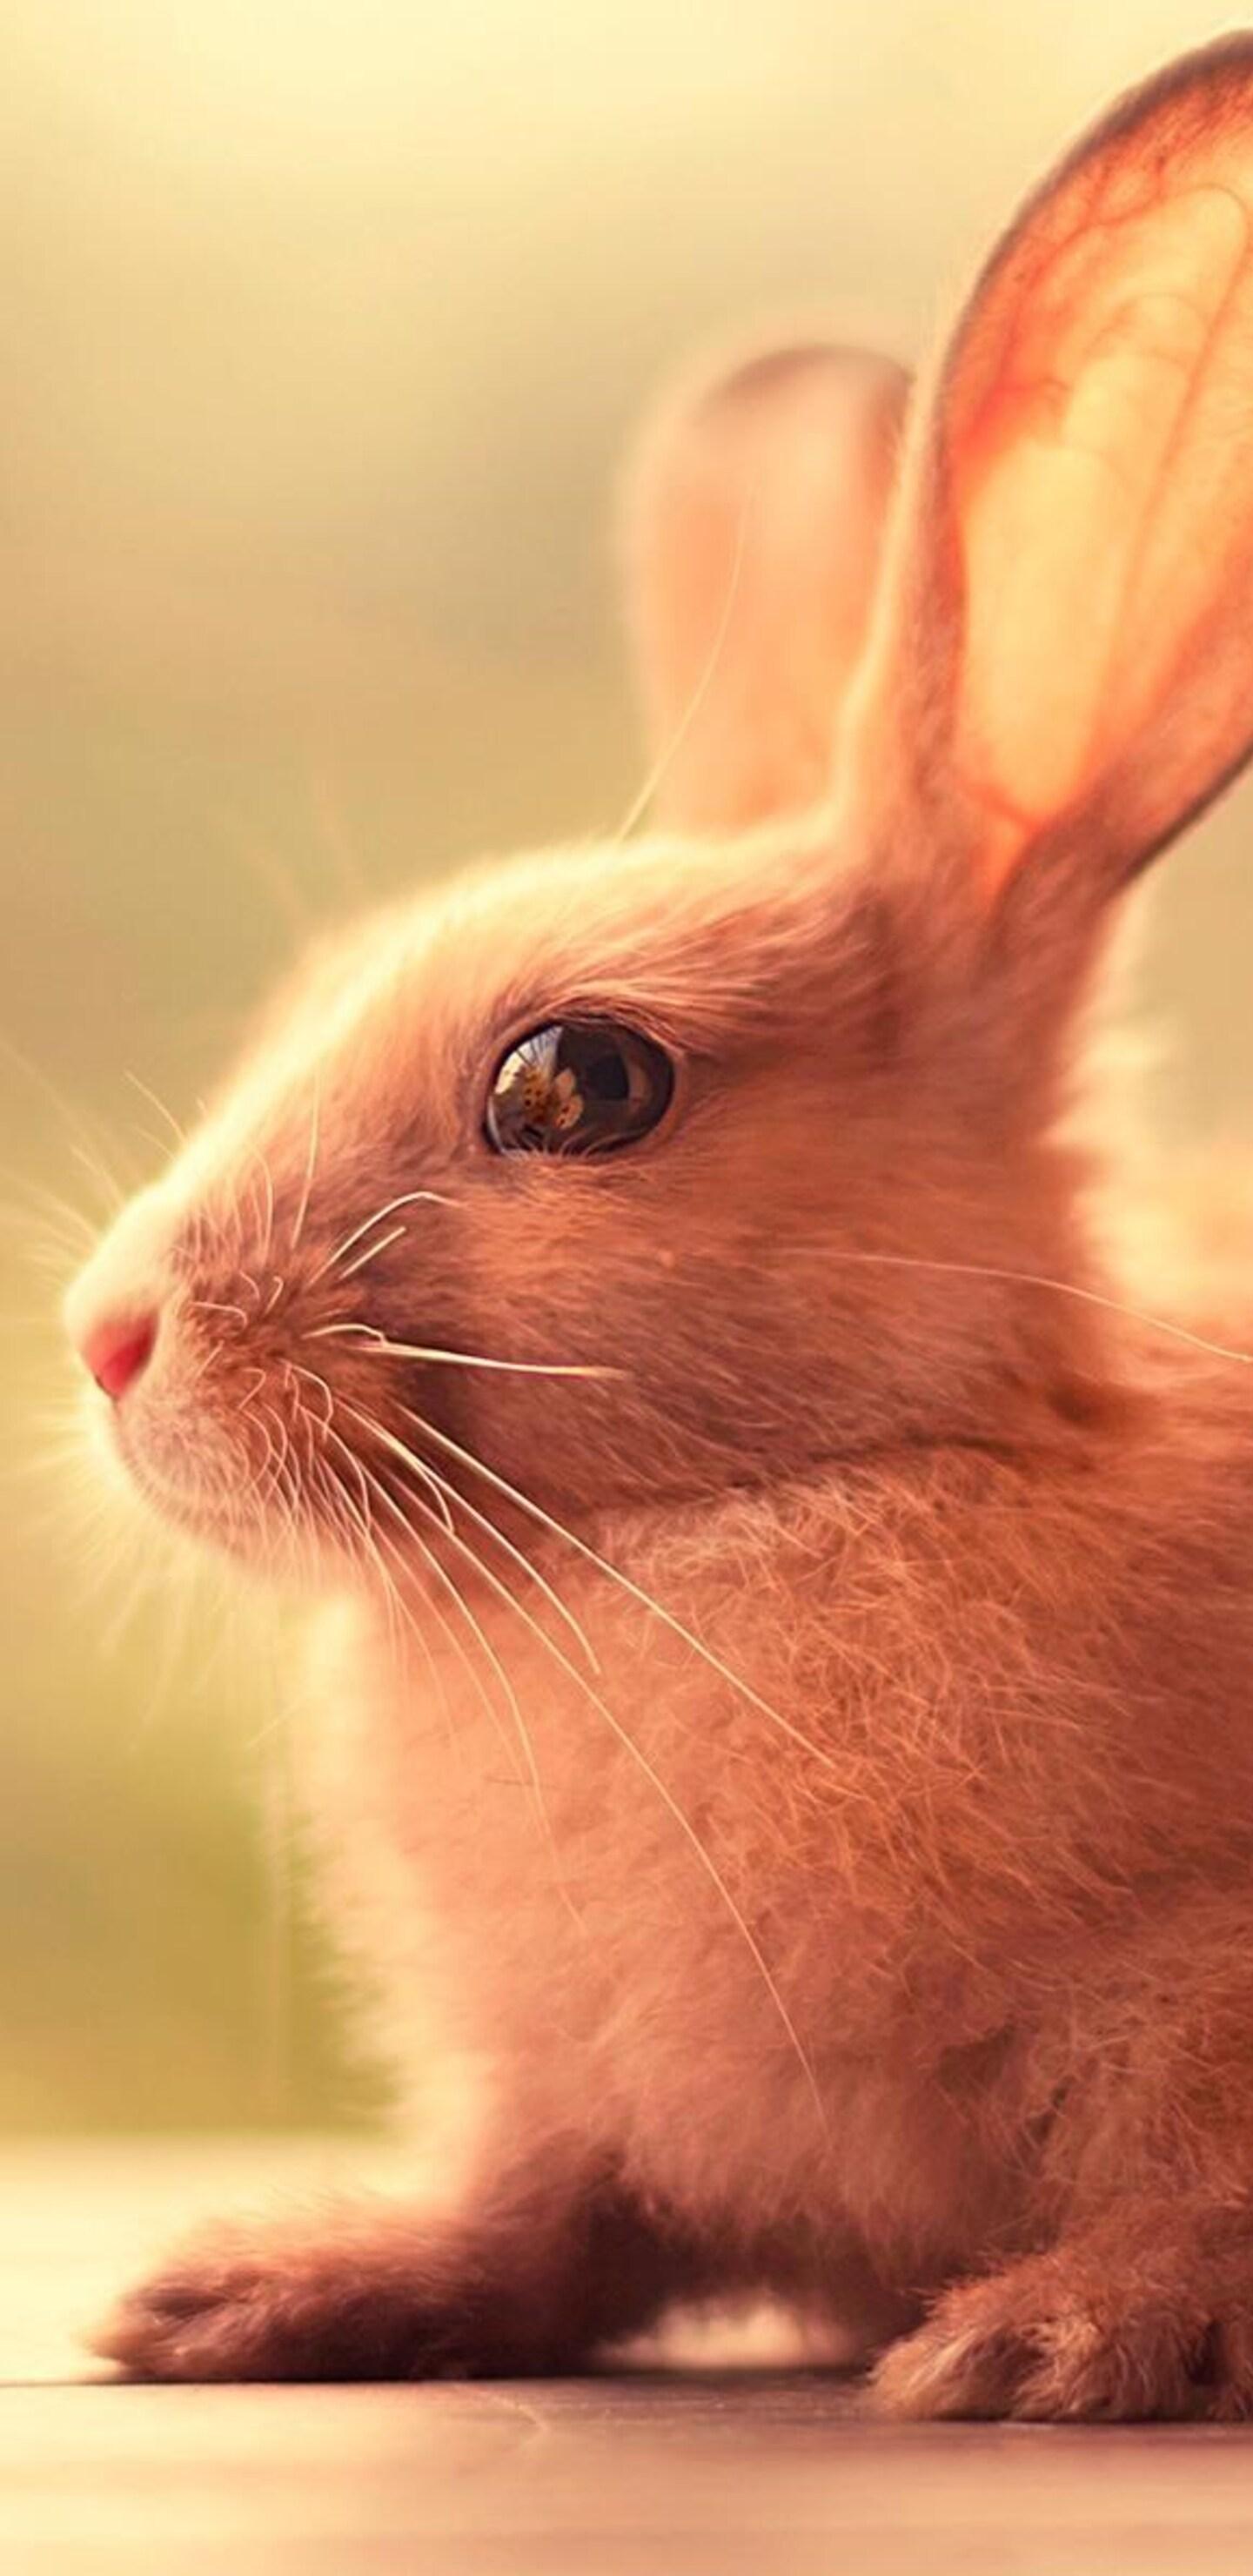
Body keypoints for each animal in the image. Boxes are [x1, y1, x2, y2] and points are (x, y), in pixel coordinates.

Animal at [62, 32, 1253, 2418]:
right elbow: (535, 2224)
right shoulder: (569, 2106)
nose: (106, 1335)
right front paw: (248, 2293)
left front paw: (1048, 2336)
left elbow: (1197, 2200)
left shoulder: (1206, 2020)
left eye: (577, 1083)